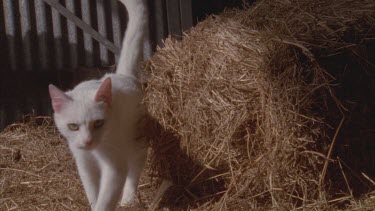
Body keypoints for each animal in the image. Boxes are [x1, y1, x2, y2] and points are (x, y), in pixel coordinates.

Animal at [49, 0, 148, 210]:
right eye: (73, 126)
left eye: (98, 123)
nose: (87, 141)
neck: (95, 151)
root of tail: (122, 75)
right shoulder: (83, 163)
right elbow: (92, 192)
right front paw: (93, 203)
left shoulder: (115, 166)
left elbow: (106, 199)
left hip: (137, 140)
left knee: (135, 166)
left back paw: (128, 198)